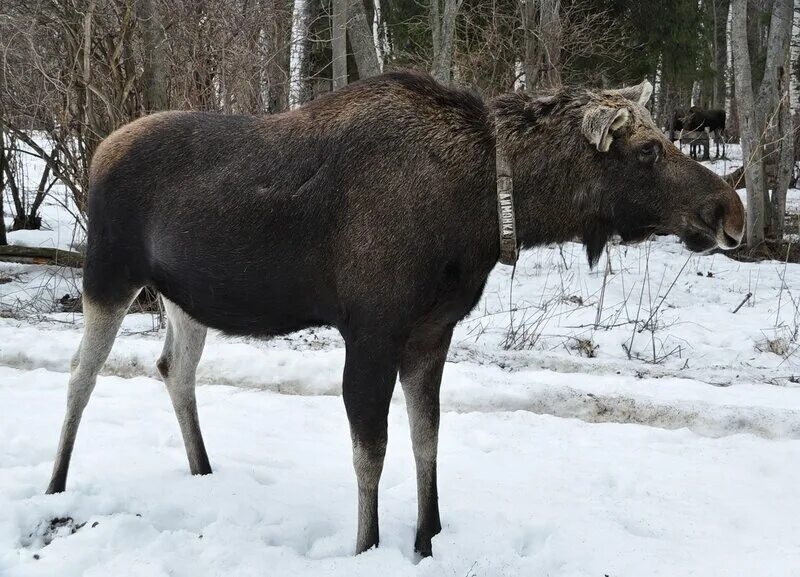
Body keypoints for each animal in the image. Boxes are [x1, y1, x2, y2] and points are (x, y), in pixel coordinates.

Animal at [43, 70, 744, 556]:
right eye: (647, 150)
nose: (730, 212)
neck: (483, 216)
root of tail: (100, 147)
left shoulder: (432, 333)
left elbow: (426, 434)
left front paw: (428, 537)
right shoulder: (373, 331)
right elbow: (371, 451)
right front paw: (369, 544)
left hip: (187, 297)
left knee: (174, 369)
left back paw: (203, 471)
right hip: (107, 273)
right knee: (80, 375)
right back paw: (55, 486)